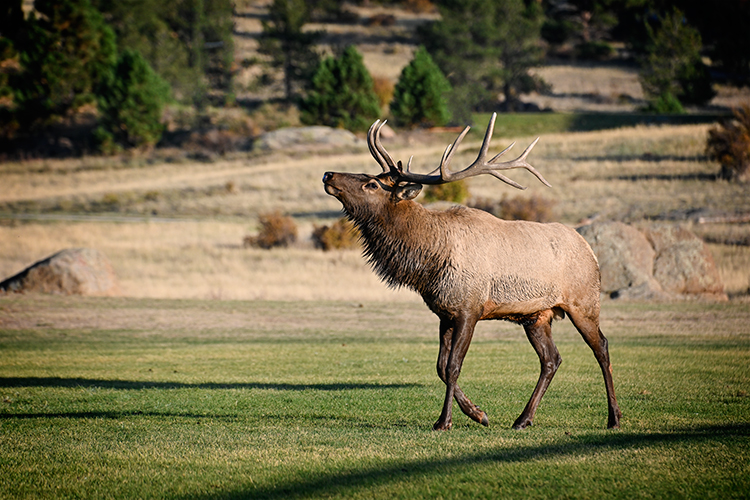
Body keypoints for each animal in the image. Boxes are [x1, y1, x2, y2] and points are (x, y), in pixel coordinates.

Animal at [324, 114, 624, 430]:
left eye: (371, 184)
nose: (328, 174)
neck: (430, 260)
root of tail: (590, 250)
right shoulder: (445, 311)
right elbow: (440, 367)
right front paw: (478, 413)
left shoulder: (470, 307)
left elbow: (453, 366)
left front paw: (445, 421)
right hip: (536, 315)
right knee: (551, 359)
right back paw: (523, 419)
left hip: (584, 302)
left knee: (602, 348)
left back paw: (613, 417)